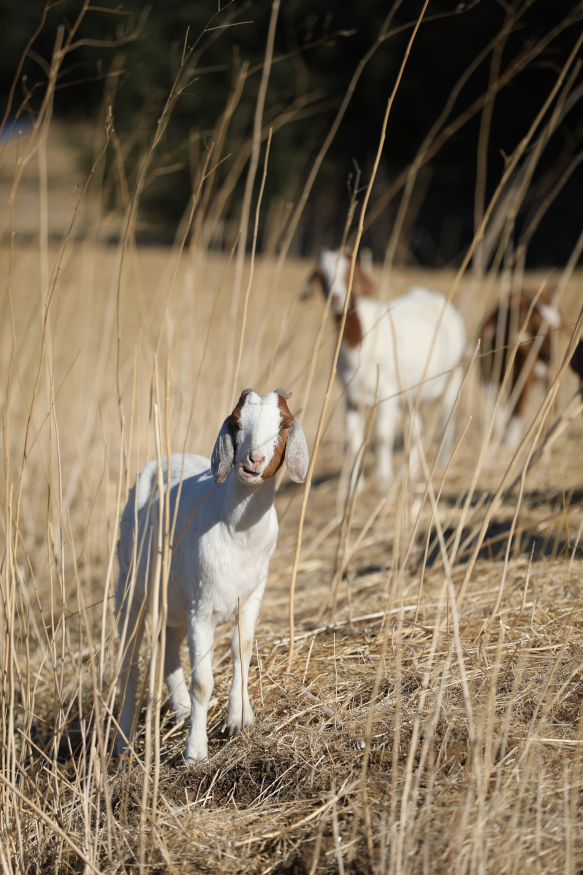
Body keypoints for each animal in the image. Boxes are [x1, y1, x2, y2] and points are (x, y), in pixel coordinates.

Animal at [117, 386, 310, 764]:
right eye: (236, 422)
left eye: (283, 425)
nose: (253, 461)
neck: (236, 530)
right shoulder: (202, 609)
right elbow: (202, 682)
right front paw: (195, 753)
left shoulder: (251, 595)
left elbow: (242, 650)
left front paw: (239, 719)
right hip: (131, 588)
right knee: (130, 661)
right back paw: (123, 741)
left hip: (176, 599)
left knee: (168, 644)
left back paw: (179, 709)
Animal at [306, 250, 466, 490]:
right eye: (321, 275)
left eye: (350, 271)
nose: (336, 298)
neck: (359, 342)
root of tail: (432, 297)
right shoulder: (350, 397)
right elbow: (353, 443)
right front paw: (355, 486)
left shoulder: (387, 392)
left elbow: (382, 437)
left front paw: (383, 480)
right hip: (411, 393)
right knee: (416, 427)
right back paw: (410, 474)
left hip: (454, 375)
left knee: (446, 422)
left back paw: (441, 465)